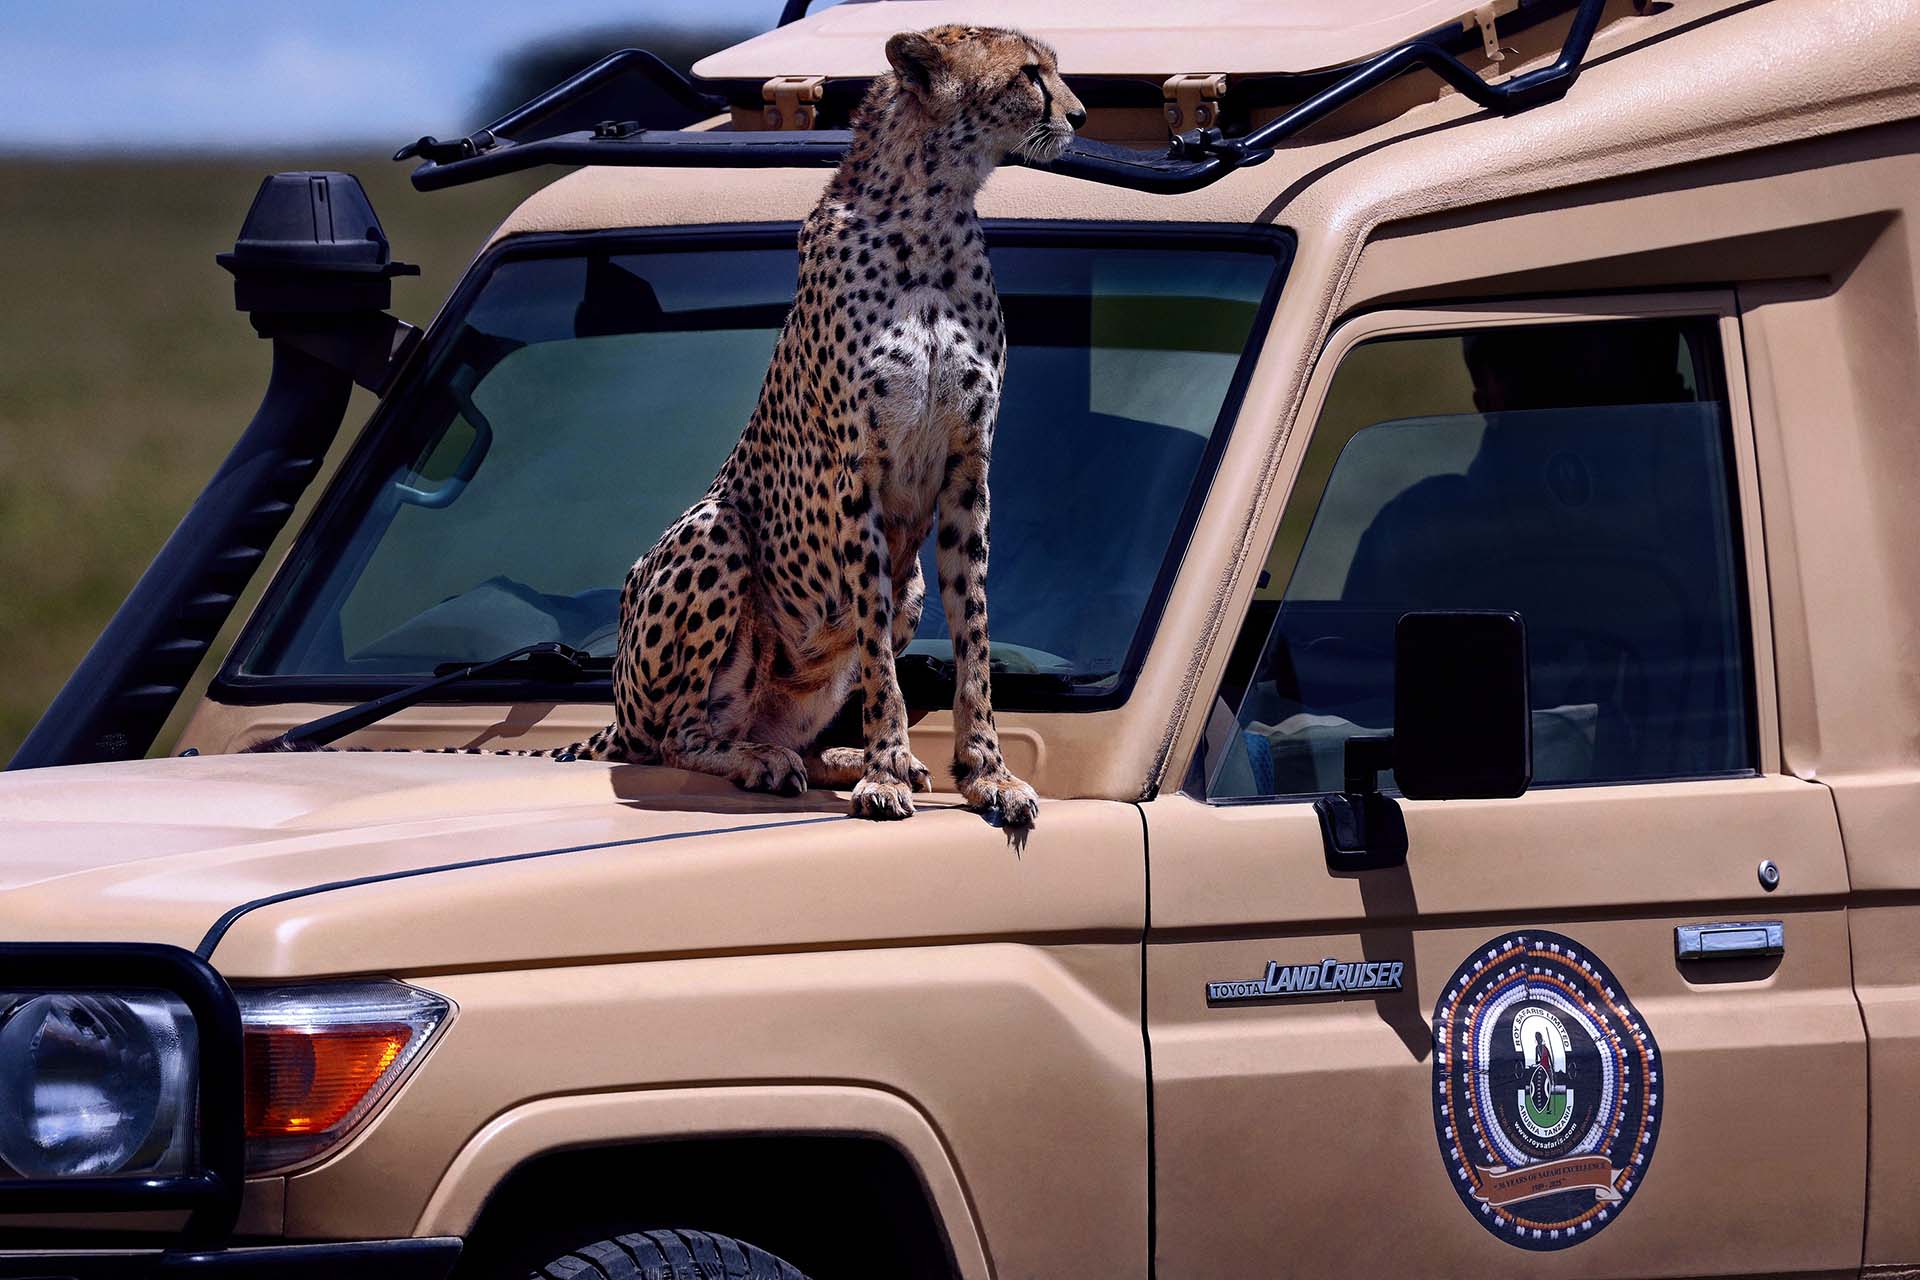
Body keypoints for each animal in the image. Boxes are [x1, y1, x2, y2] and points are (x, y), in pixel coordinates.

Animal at [541, 26, 1085, 824]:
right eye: (1030, 73)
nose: (1078, 115)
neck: (931, 213)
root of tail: (615, 714)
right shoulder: (857, 473)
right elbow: (880, 656)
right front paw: (886, 771)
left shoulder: (967, 468)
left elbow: (975, 635)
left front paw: (986, 772)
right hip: (714, 534)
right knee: (675, 738)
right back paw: (762, 760)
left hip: (907, 584)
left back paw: (838, 755)